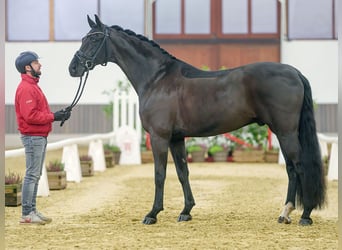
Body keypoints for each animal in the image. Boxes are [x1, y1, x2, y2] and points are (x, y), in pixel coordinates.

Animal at [69, 15, 326, 227]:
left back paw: (305, 215)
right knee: (291, 170)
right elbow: (183, 172)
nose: (73, 68)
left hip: (285, 131)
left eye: (94, 39)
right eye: (83, 38)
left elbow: (159, 174)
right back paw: (285, 213)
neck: (157, 79)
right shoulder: (176, 138)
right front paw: (186, 211)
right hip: (283, 132)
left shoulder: (160, 137)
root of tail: (295, 73)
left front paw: (152, 214)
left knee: (299, 167)